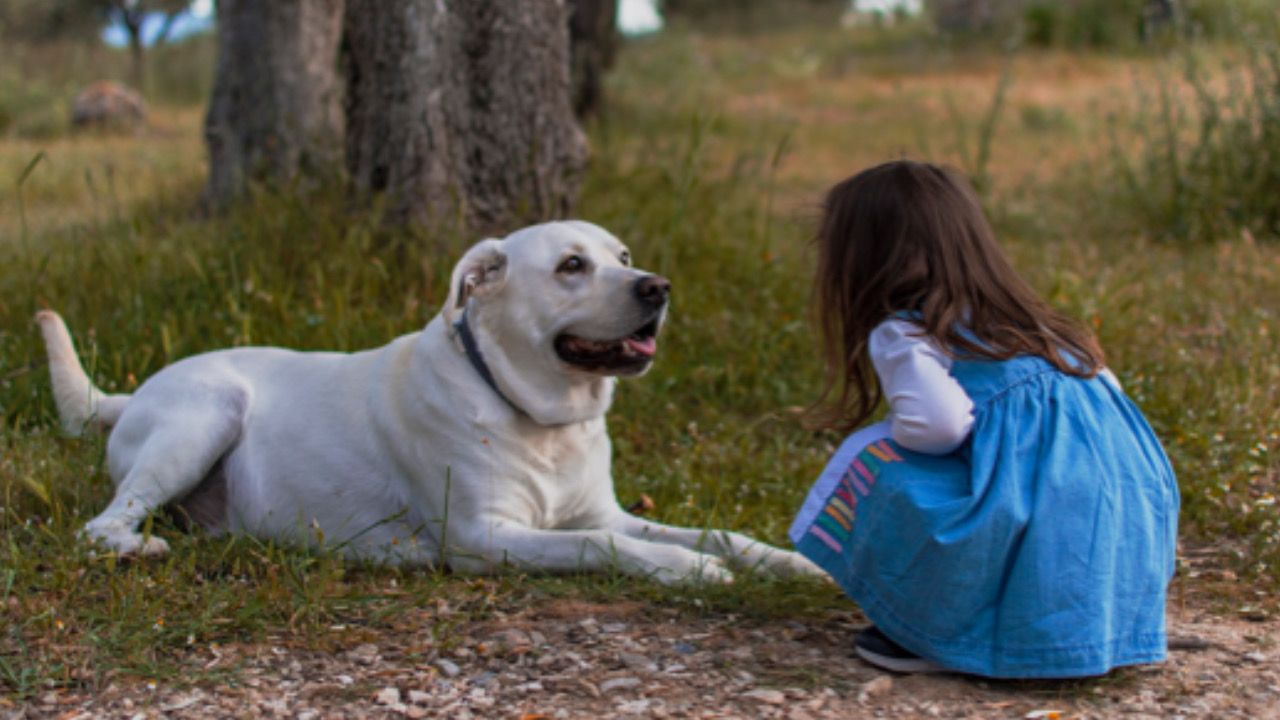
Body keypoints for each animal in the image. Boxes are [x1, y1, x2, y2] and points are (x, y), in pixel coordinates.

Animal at [40, 220, 819, 584]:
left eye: (622, 257)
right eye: (571, 265)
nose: (657, 287)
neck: (540, 418)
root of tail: (129, 394)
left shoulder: (605, 511)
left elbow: (715, 532)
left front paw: (788, 562)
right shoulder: (485, 536)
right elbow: (604, 546)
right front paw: (689, 571)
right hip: (204, 416)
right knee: (99, 526)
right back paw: (136, 548)